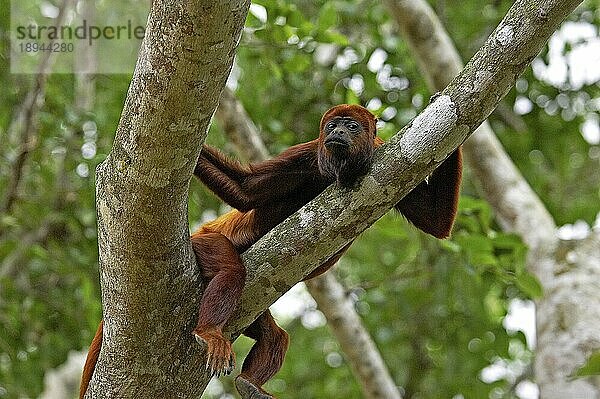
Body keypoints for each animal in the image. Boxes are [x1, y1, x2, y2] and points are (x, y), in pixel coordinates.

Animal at [79, 105, 462, 399]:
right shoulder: (308, 153)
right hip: (203, 244)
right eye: (332, 125)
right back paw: (209, 332)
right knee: (232, 273)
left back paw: (249, 384)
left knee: (274, 335)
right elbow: (247, 190)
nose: (338, 131)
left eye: (351, 126)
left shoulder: (382, 154)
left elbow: (436, 223)